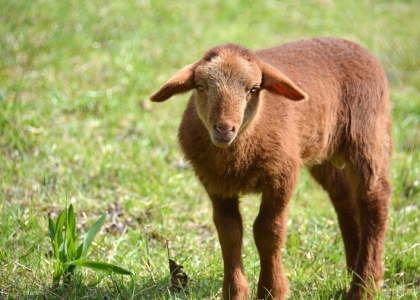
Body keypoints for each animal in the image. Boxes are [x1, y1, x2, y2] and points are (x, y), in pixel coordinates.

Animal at [149, 37, 392, 300]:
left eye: (254, 89)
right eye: (200, 86)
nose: (224, 129)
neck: (239, 154)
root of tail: (352, 43)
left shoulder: (282, 176)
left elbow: (268, 231)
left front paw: (271, 290)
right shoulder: (216, 183)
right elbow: (229, 231)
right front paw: (235, 292)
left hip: (368, 133)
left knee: (374, 199)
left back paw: (365, 285)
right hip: (324, 151)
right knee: (345, 198)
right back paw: (353, 268)